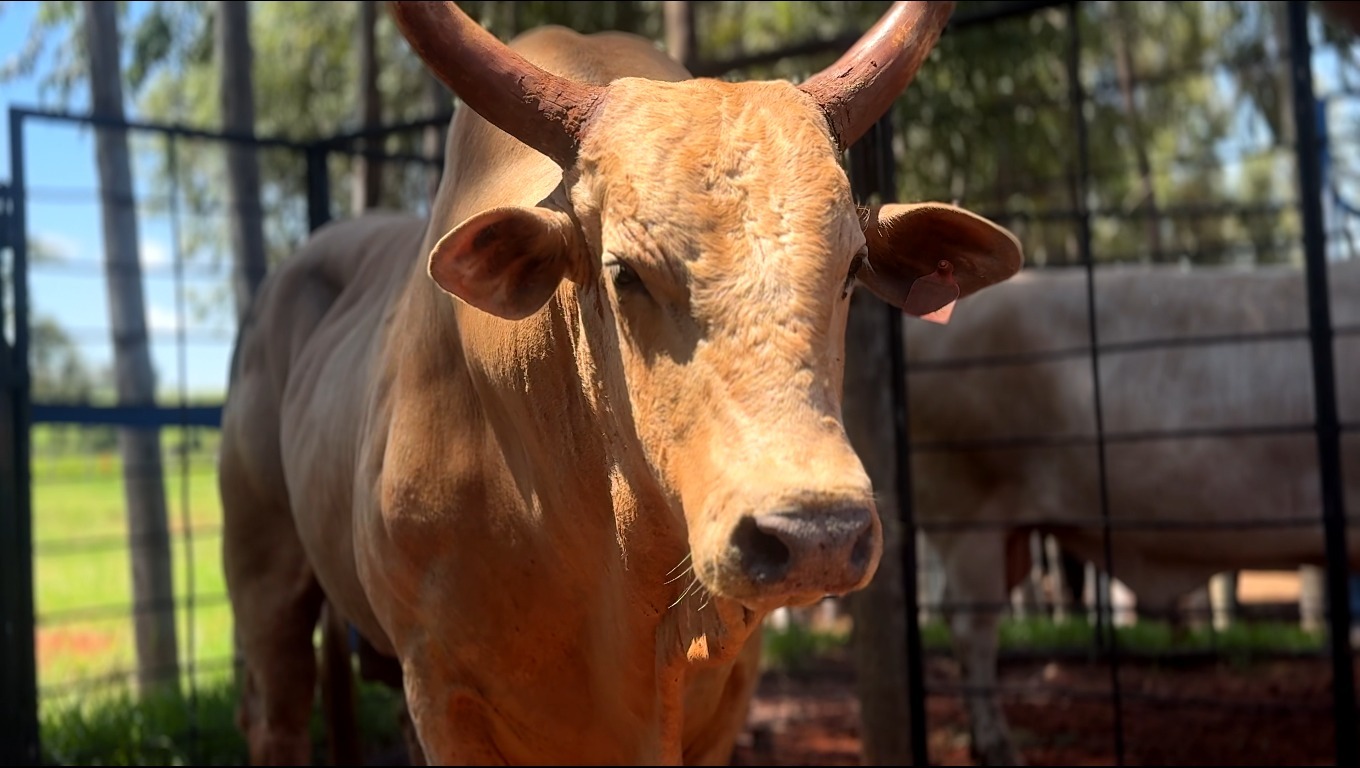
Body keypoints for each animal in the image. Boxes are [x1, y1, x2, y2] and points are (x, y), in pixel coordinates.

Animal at [220, 1, 1022, 761]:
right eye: (623, 270)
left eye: (853, 267)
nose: (814, 535)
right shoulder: (440, 690)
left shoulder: (729, 690)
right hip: (263, 575)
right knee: (274, 715)